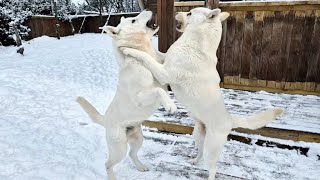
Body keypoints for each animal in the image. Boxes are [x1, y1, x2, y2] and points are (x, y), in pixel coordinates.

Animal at [77, 10, 178, 180]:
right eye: (133, 20)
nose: (148, 10)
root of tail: (105, 119)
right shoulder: (140, 97)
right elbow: (158, 91)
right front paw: (170, 104)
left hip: (138, 138)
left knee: (132, 154)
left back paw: (141, 167)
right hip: (119, 148)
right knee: (108, 164)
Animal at [119, 7, 282, 179]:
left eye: (190, 13)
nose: (177, 13)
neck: (195, 45)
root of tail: (230, 120)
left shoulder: (165, 73)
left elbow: (146, 57)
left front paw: (129, 49)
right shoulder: (164, 60)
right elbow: (156, 54)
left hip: (212, 146)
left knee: (212, 167)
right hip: (198, 134)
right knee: (201, 152)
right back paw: (195, 161)